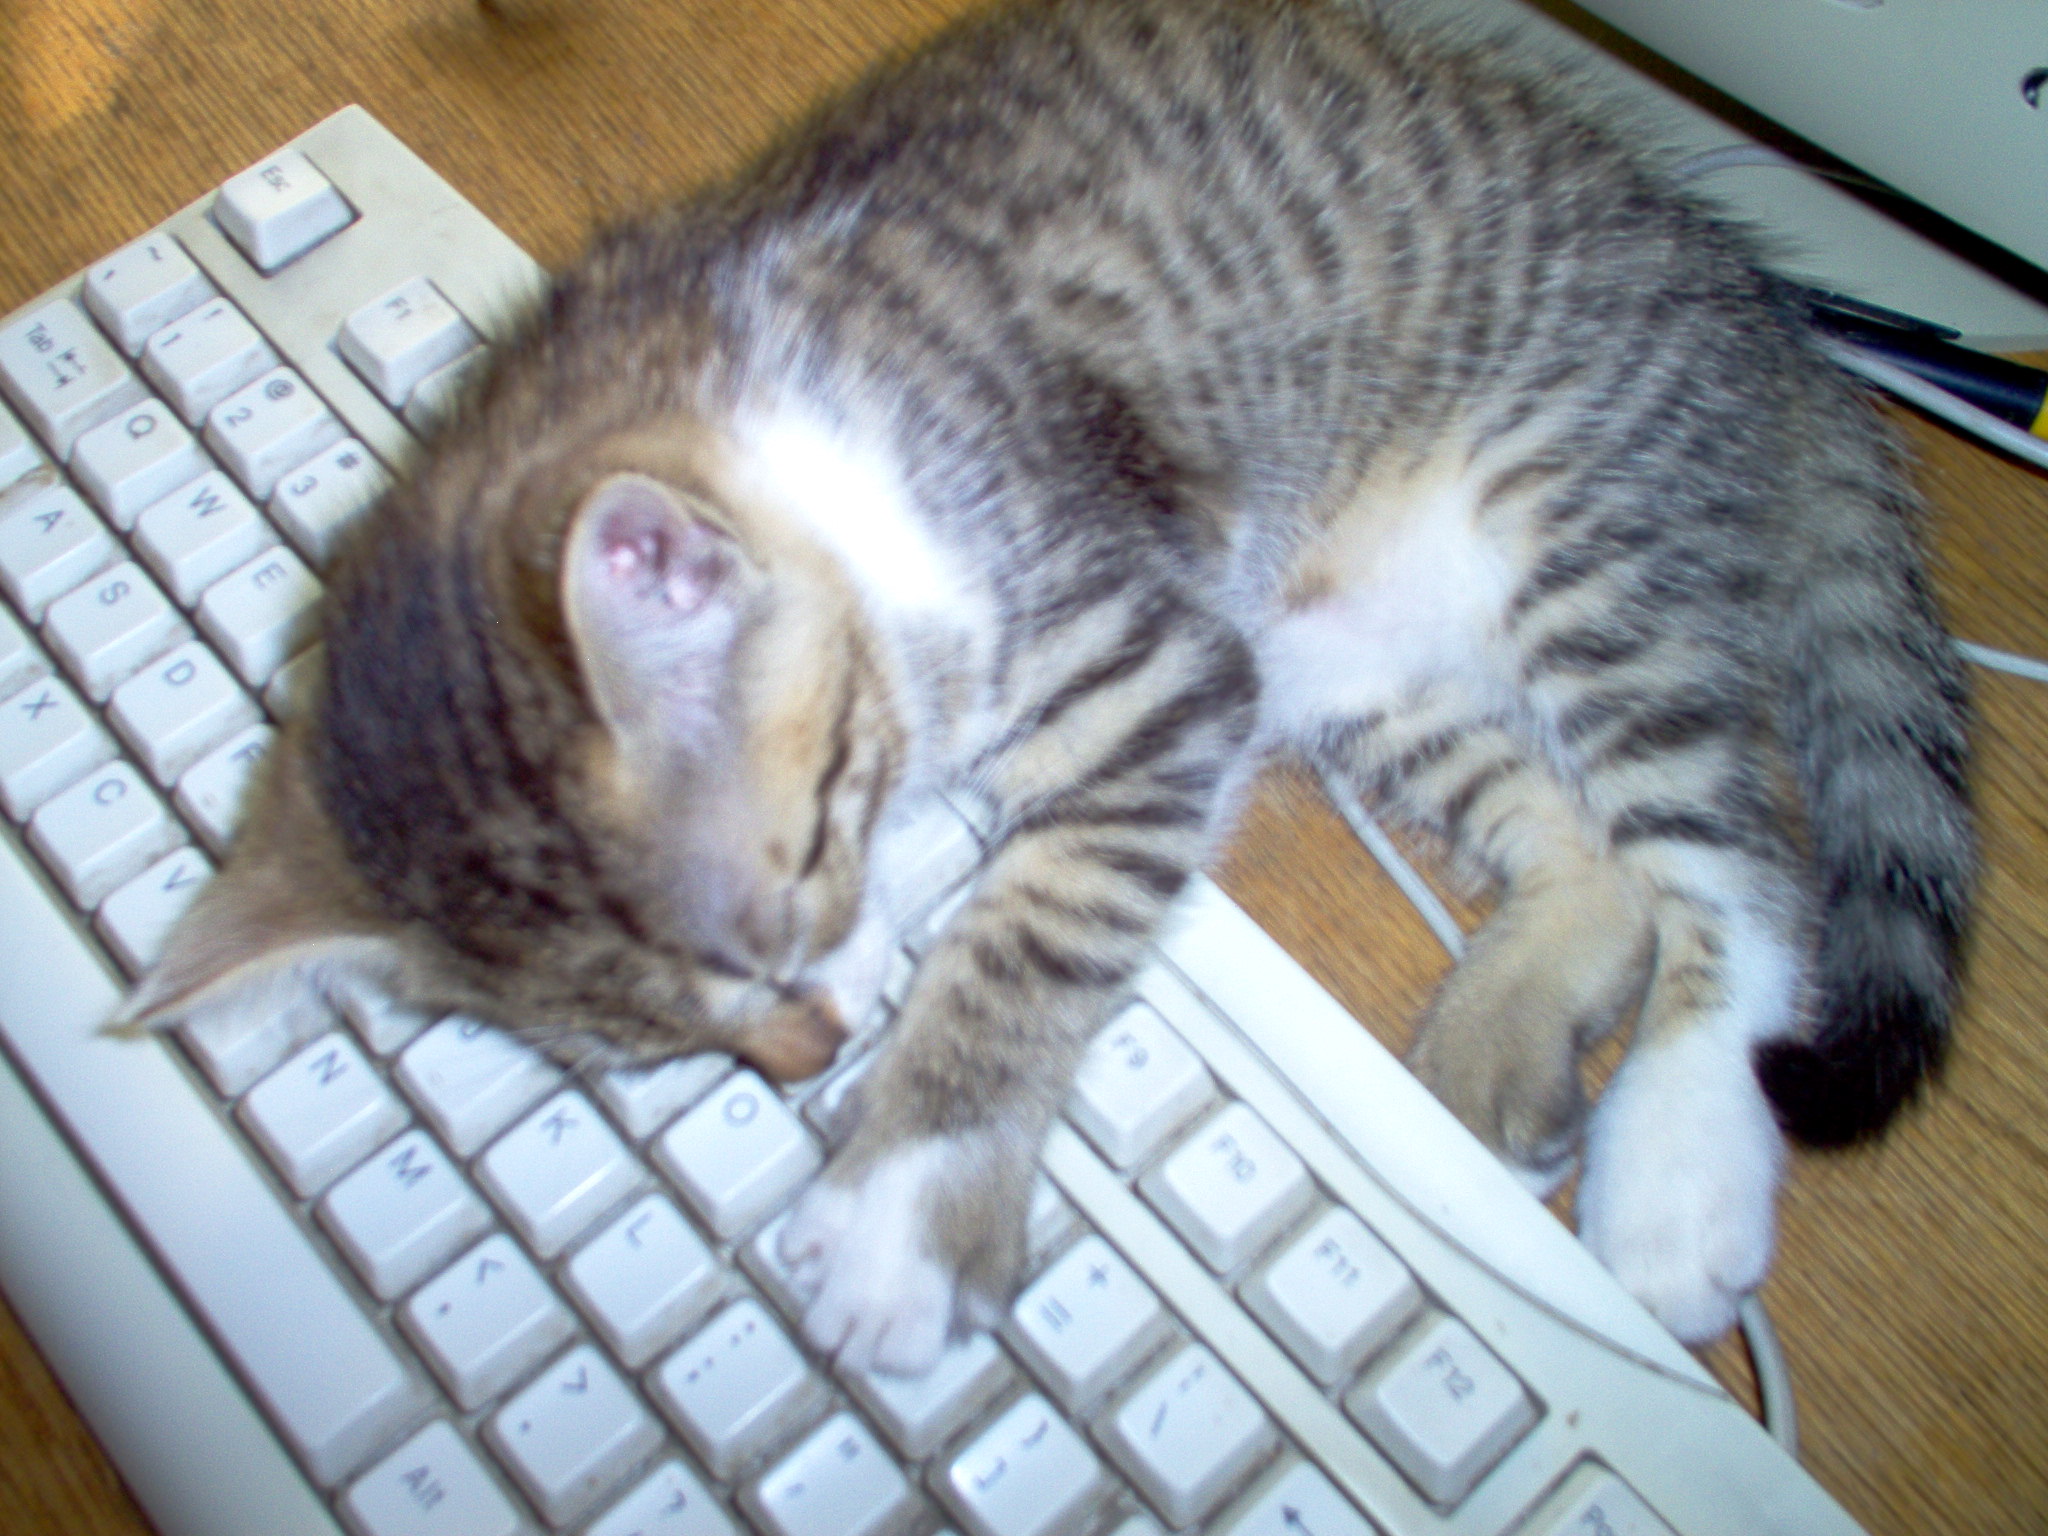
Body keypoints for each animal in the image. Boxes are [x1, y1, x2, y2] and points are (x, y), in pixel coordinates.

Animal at [123, 0, 1966, 1368]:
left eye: (802, 866)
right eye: (633, 1051)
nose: (800, 1056)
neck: (803, 436)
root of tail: (1757, 300)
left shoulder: (1152, 660)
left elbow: (1034, 926)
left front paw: (905, 1201)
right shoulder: (1211, 656)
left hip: (1579, 537)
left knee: (1730, 869)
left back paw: (1674, 1172)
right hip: (1349, 656)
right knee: (1577, 838)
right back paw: (1499, 1045)